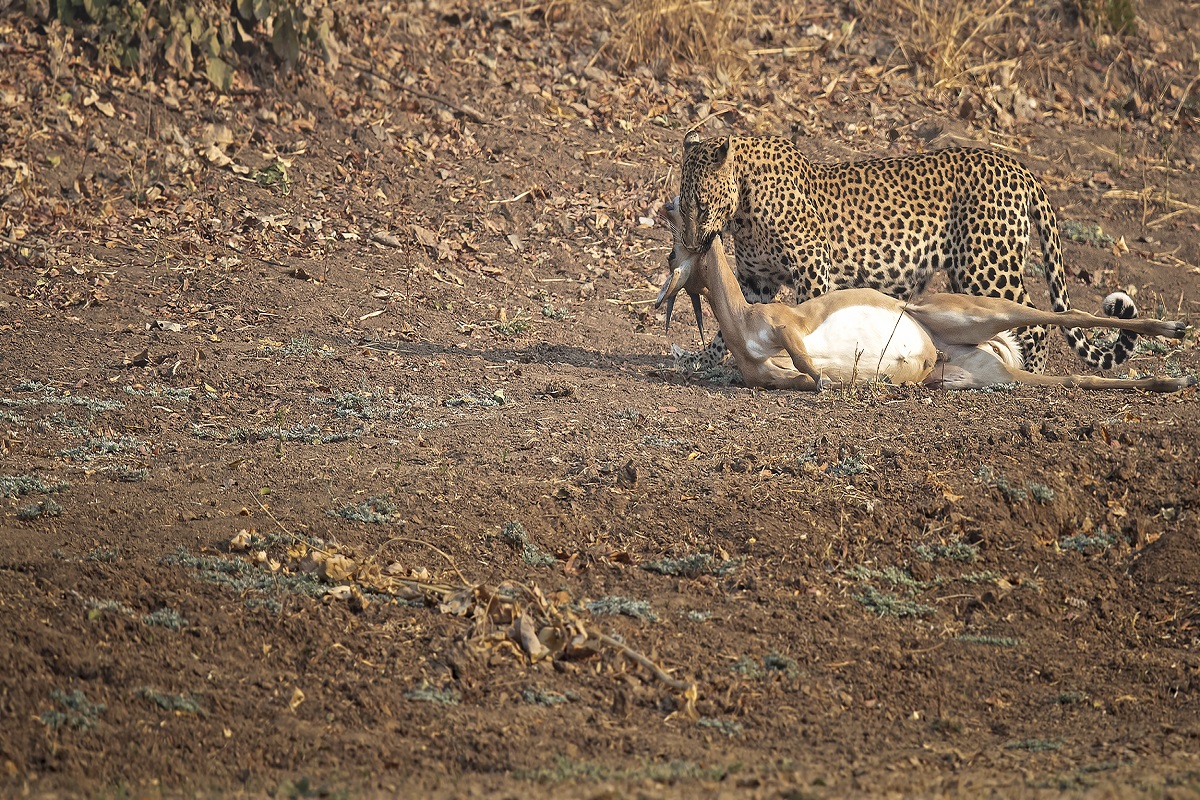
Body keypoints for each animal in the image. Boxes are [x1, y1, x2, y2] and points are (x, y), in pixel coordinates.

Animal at [655, 199, 1195, 393]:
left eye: (670, 251)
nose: (661, 296)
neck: (740, 323)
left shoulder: (789, 325)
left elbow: (810, 366)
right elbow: (809, 377)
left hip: (978, 307)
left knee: (1071, 314)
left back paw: (1174, 329)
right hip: (981, 375)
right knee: (1077, 378)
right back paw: (1171, 382)